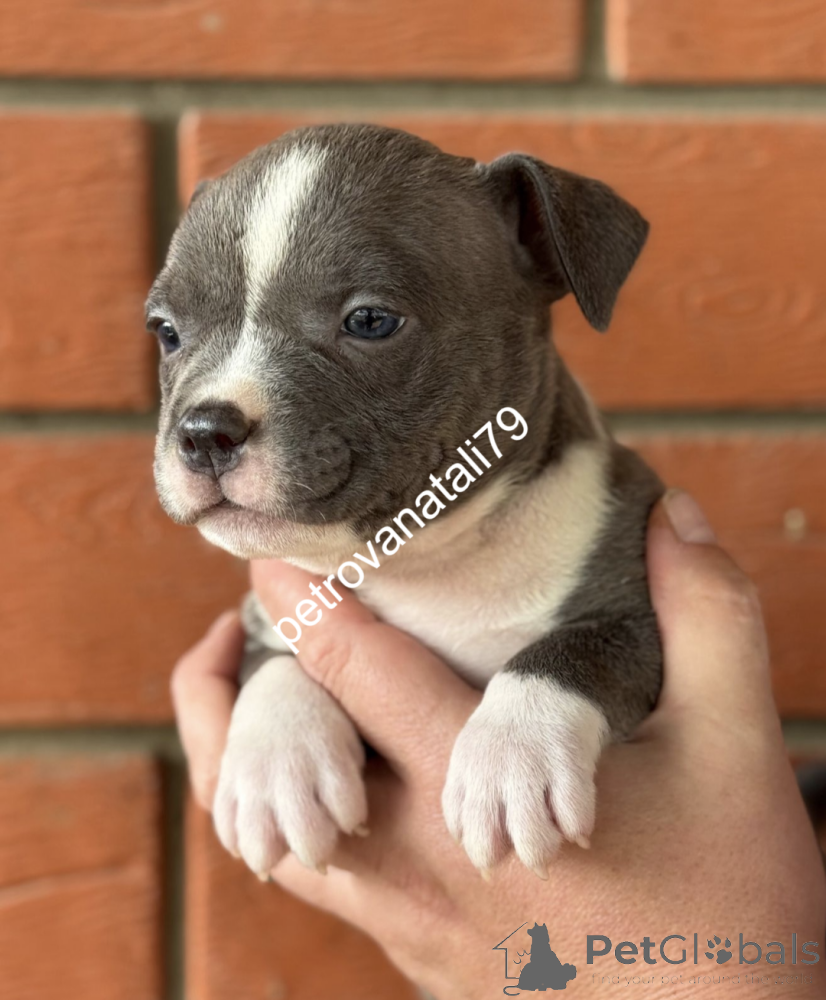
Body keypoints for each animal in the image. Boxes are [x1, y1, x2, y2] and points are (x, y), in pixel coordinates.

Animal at [148, 123, 663, 881]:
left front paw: (513, 754)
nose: (204, 429)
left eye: (369, 321)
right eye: (166, 332)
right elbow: (269, 660)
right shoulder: (270, 610)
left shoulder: (631, 607)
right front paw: (275, 761)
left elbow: (569, 652)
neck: (423, 563)